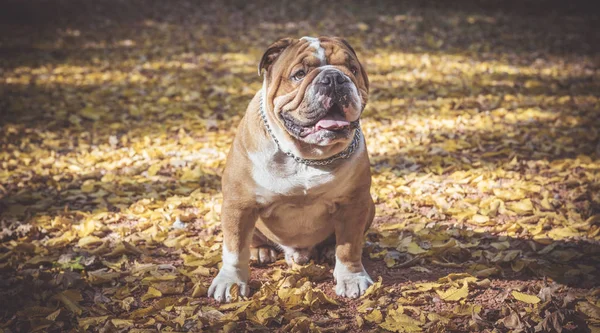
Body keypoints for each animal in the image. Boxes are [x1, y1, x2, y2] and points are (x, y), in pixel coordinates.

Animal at [209, 35, 372, 300]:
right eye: (299, 74)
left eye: (353, 69)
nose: (334, 77)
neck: (306, 156)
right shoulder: (238, 205)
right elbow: (234, 249)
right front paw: (230, 282)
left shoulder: (354, 203)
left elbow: (349, 247)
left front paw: (351, 278)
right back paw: (261, 251)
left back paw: (329, 250)